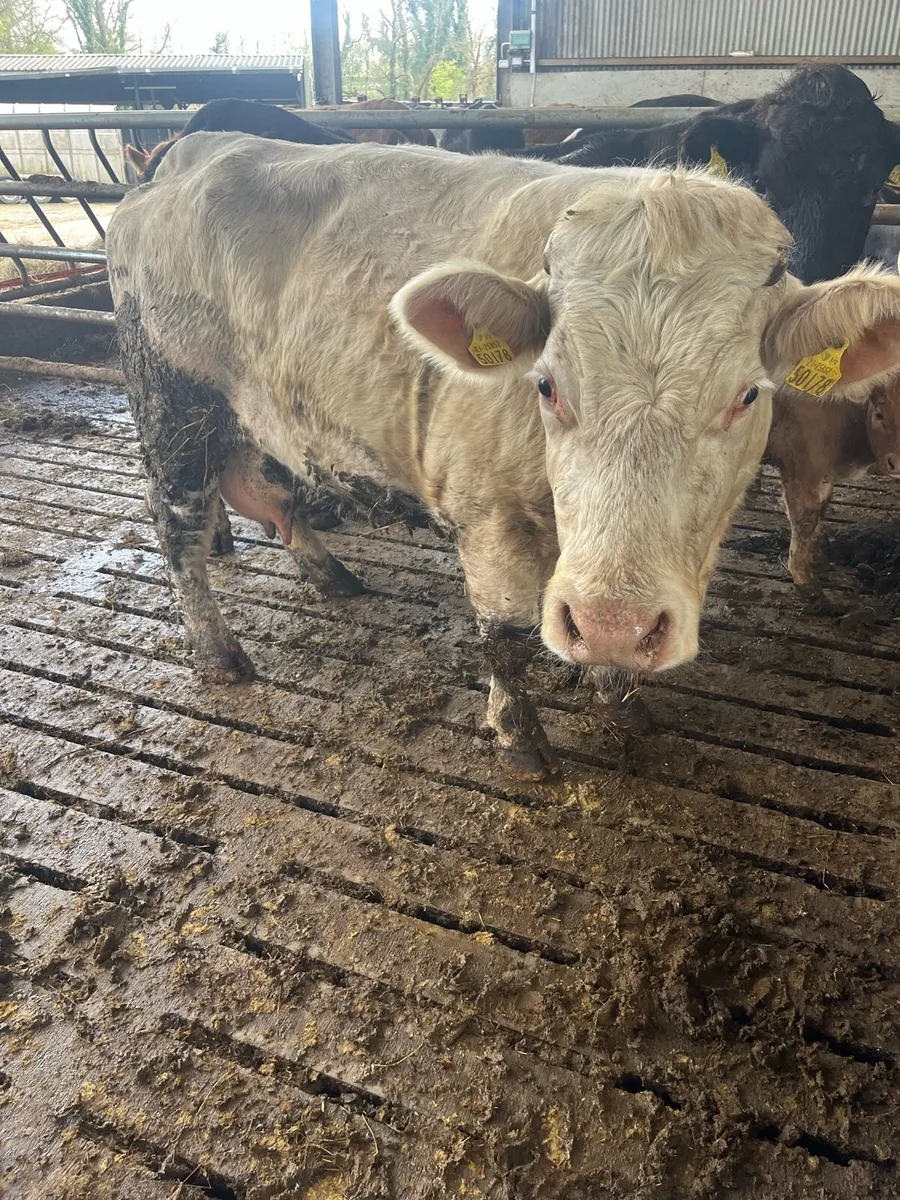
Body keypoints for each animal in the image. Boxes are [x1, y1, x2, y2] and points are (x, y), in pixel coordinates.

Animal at [768, 380, 900, 597]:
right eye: (879, 413)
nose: (896, 463)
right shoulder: (803, 469)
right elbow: (805, 520)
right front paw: (802, 577)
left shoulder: (824, 474)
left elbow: (821, 510)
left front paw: (818, 560)